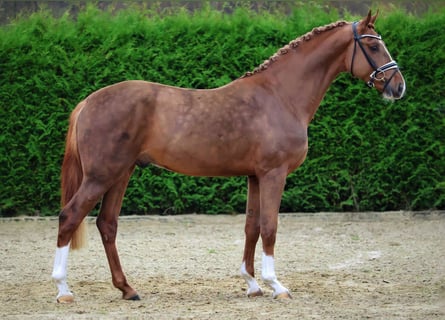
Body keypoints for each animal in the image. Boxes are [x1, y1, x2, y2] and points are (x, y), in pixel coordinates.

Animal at [51, 11, 402, 302]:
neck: (280, 95)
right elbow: (270, 226)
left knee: (107, 224)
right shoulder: (274, 174)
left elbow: (252, 227)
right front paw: (276, 285)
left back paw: (127, 289)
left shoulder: (255, 176)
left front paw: (252, 284)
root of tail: (88, 102)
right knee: (70, 216)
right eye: (373, 46)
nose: (398, 86)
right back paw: (64, 290)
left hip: (120, 174)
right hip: (101, 176)